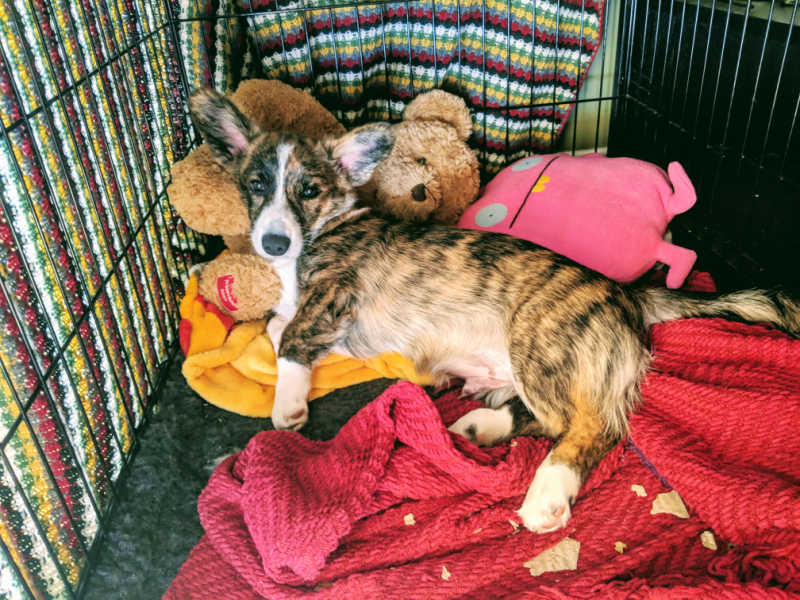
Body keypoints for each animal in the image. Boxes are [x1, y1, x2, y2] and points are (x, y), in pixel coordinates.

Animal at [189, 86, 800, 532]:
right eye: (255, 184)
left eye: (310, 190)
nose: (272, 244)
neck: (319, 236)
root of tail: (630, 292)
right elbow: (276, 323)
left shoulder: (336, 290)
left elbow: (290, 339)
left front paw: (288, 408)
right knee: (548, 418)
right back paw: (484, 423)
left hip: (540, 342)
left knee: (592, 427)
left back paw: (548, 492)